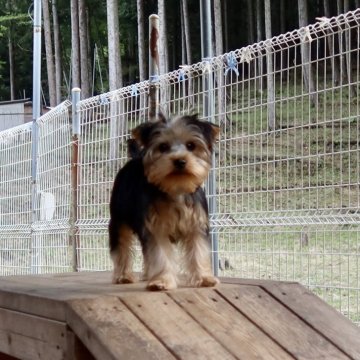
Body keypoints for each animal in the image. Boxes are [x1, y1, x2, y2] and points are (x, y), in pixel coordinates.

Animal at [108, 114, 219, 292]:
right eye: (163, 147)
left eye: (191, 145)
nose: (180, 161)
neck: (175, 187)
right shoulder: (156, 226)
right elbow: (159, 254)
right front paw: (161, 281)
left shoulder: (196, 224)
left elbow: (199, 251)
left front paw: (204, 278)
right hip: (119, 218)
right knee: (121, 245)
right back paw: (123, 276)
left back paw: (147, 274)